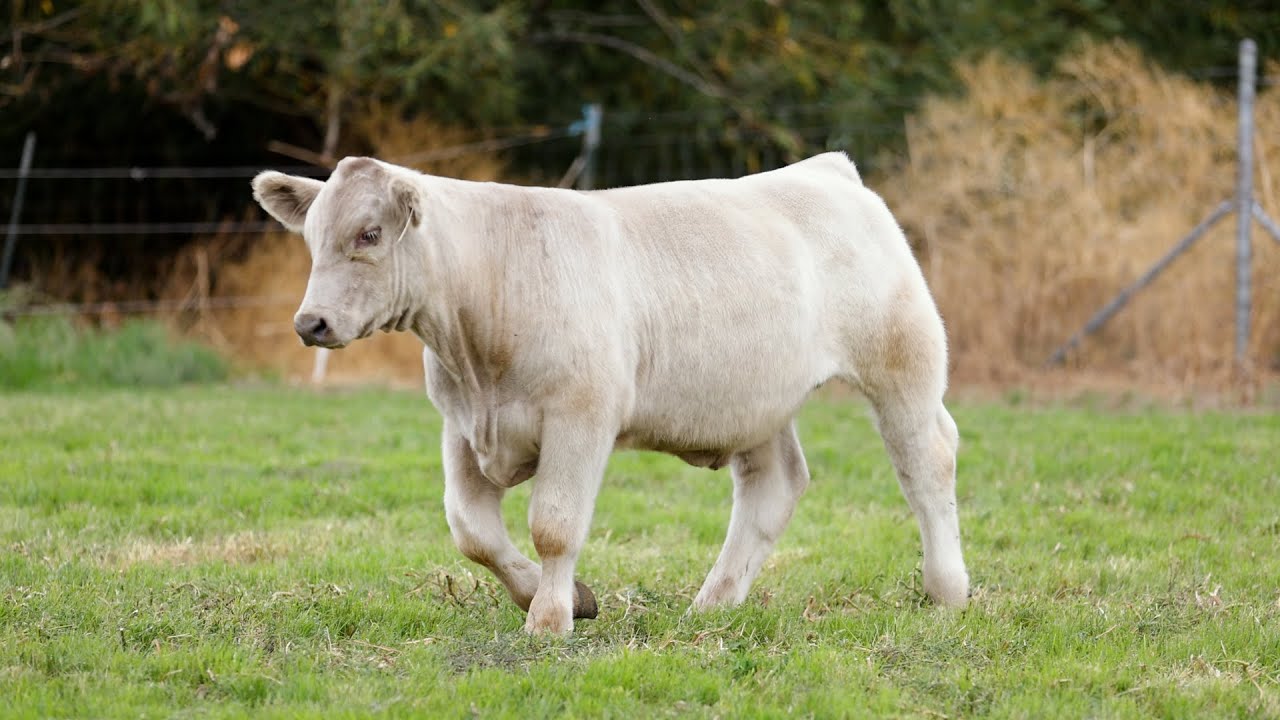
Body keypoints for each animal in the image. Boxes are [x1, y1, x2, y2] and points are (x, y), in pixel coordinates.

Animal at [251, 152, 969, 634]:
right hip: (756, 402)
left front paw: (547, 621)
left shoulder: (580, 417)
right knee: (774, 485)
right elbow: (472, 530)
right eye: (312, 237)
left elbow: (553, 525)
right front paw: (569, 599)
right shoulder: (460, 424)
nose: (310, 322)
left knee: (926, 462)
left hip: (902, 361)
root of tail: (827, 170)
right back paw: (711, 603)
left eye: (369, 234)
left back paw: (948, 590)